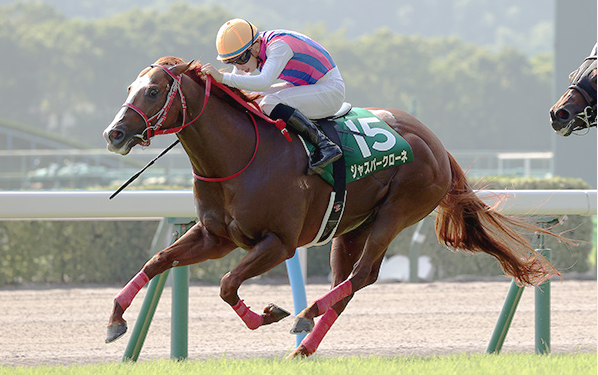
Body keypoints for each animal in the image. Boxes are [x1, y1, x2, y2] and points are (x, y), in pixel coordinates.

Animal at [104, 55, 564, 358]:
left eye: (153, 90)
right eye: (128, 89)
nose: (114, 133)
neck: (240, 155)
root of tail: (436, 143)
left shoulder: (279, 243)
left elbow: (227, 283)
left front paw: (267, 314)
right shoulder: (214, 237)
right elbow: (158, 261)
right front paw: (115, 320)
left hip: (397, 211)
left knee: (361, 275)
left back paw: (304, 315)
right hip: (352, 226)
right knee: (348, 286)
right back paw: (303, 347)